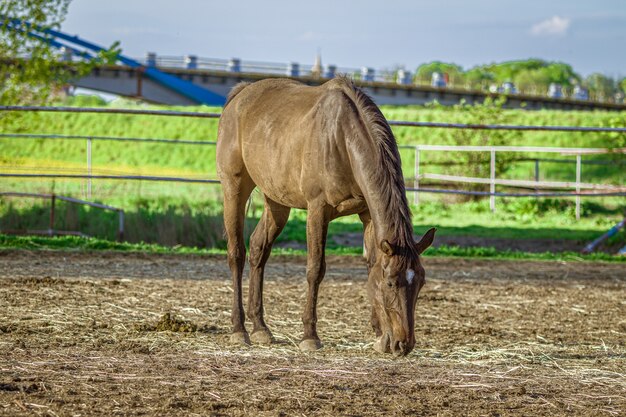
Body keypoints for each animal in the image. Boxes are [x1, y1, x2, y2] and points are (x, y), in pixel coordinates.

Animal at [216, 77, 434, 354]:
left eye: (421, 282)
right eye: (391, 283)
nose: (403, 344)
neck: (342, 139)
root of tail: (241, 94)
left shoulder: (367, 214)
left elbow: (372, 265)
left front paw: (379, 335)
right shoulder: (317, 209)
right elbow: (315, 269)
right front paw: (310, 336)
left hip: (276, 201)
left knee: (258, 249)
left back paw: (260, 328)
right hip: (234, 188)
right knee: (237, 254)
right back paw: (239, 329)